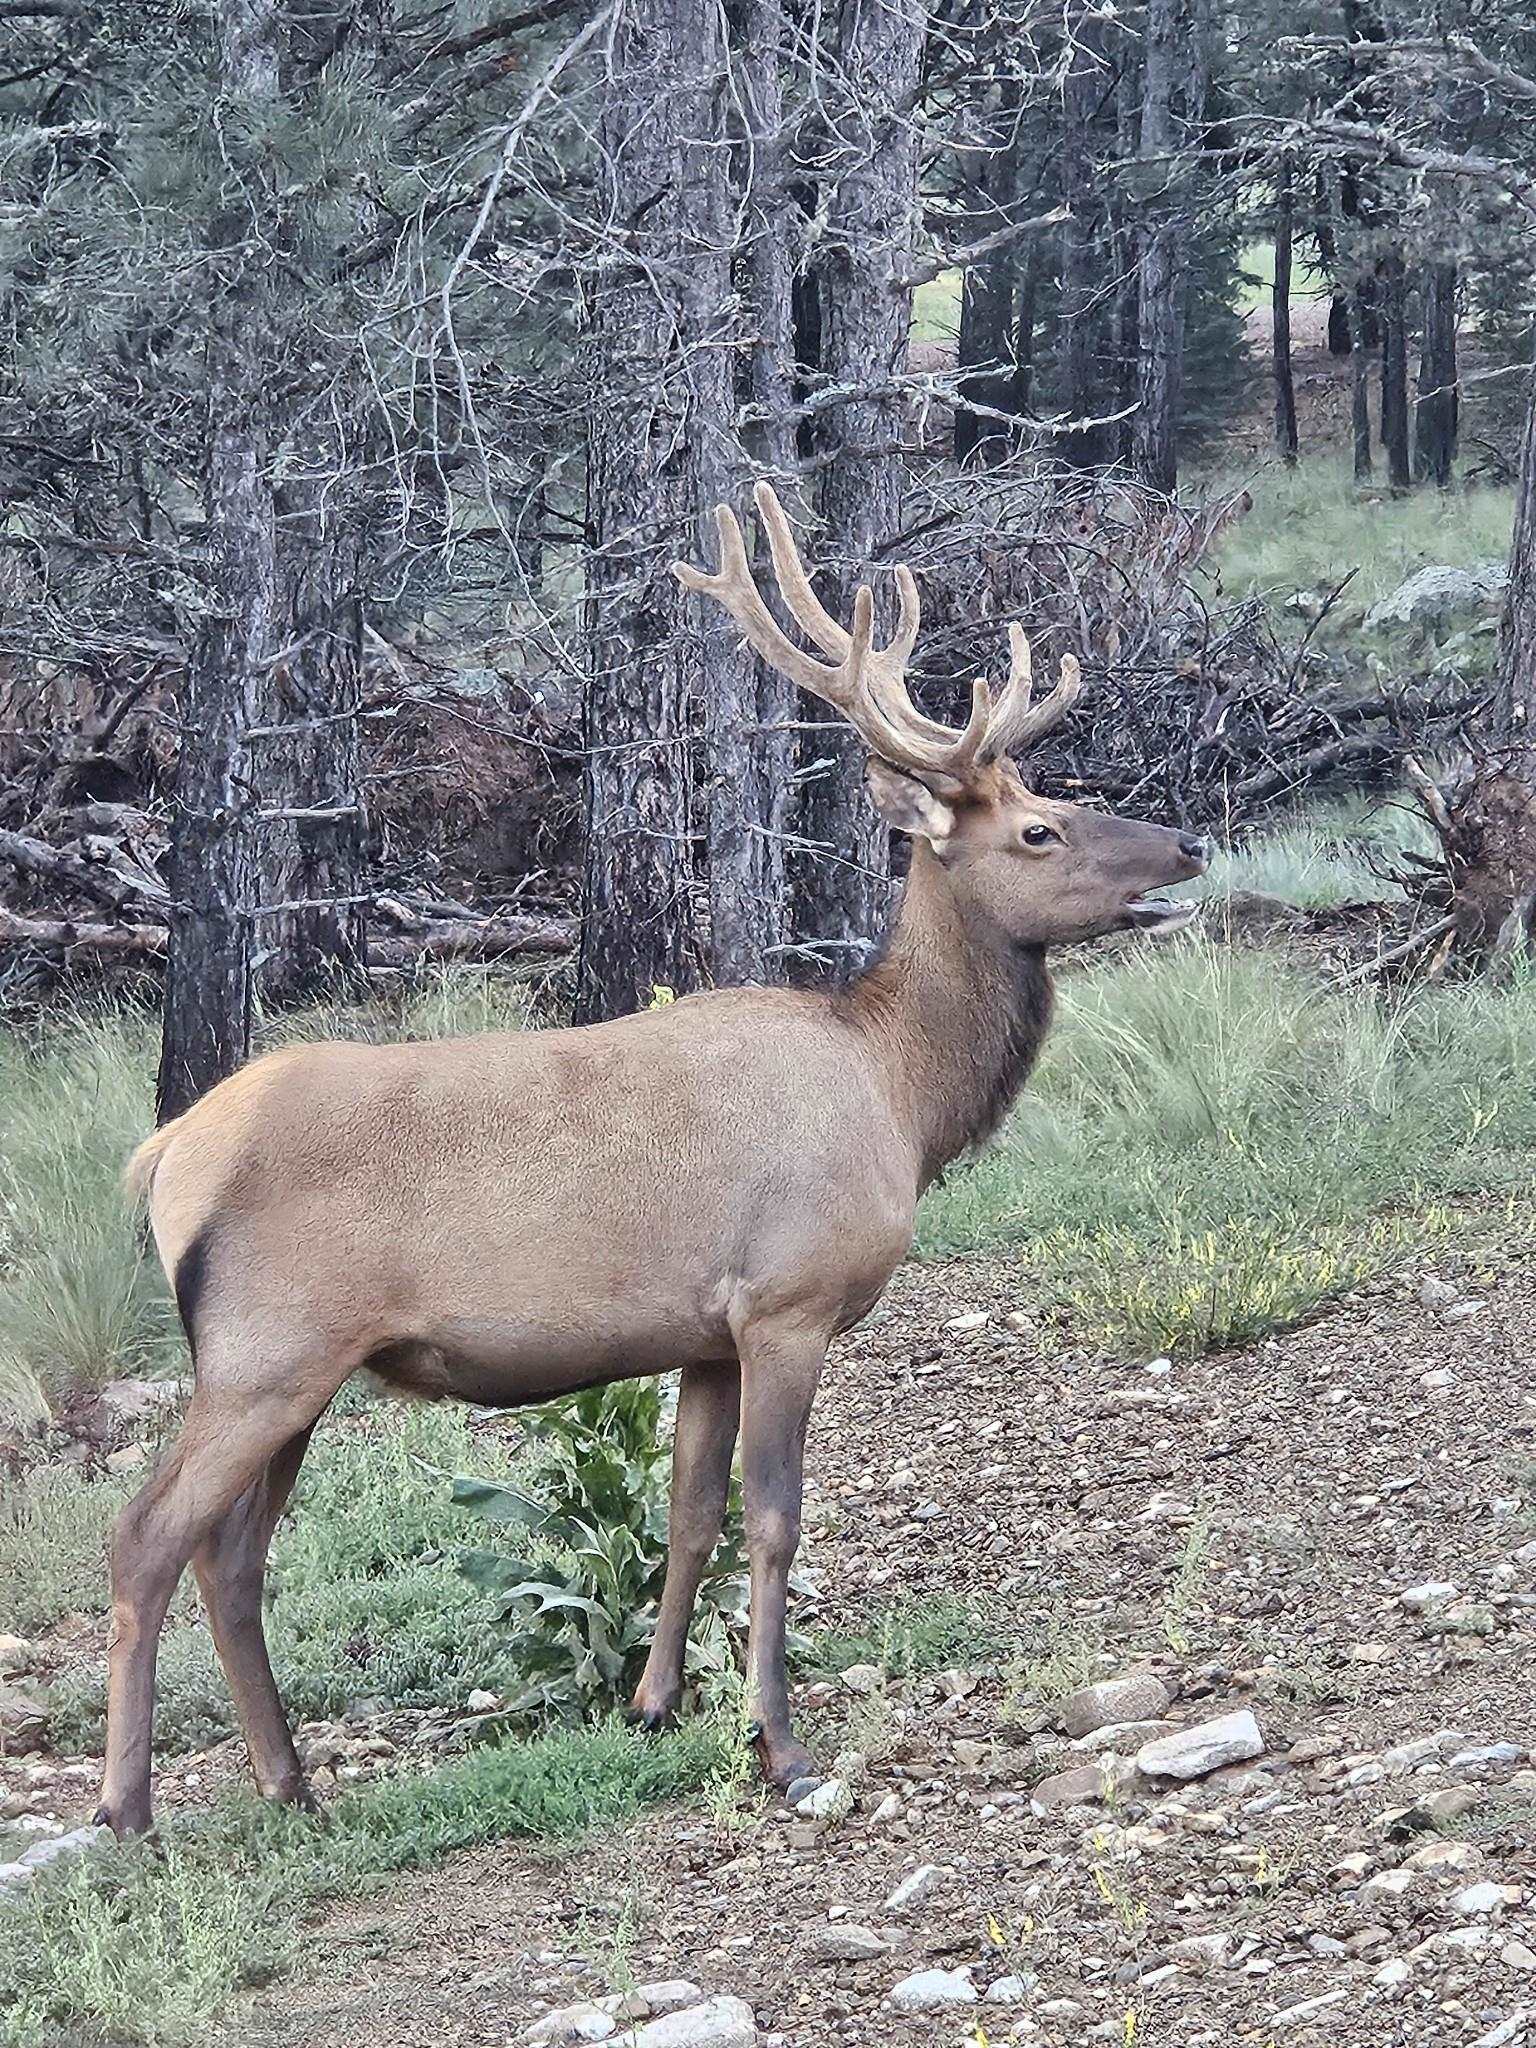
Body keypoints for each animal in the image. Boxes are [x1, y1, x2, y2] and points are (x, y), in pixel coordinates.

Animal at [99, 483, 1212, 1843]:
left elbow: (689, 1516)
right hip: (266, 1344)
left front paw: (656, 1699)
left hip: (295, 1365)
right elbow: (773, 1519)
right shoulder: (788, 1296)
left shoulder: (704, 1332)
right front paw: (780, 1743)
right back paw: (128, 1807)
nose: (1187, 843)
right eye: (1043, 827)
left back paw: (290, 1779)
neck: (899, 1092)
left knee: (232, 1553)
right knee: (147, 1535)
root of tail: (163, 1154)